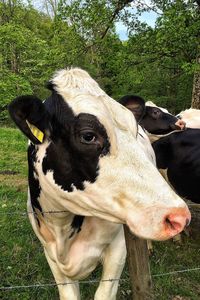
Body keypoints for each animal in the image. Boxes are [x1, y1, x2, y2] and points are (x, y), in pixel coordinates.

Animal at [8, 68, 191, 300]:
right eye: (88, 136)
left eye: (133, 130)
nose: (178, 216)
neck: (62, 228)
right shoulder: (50, 254)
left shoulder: (118, 248)